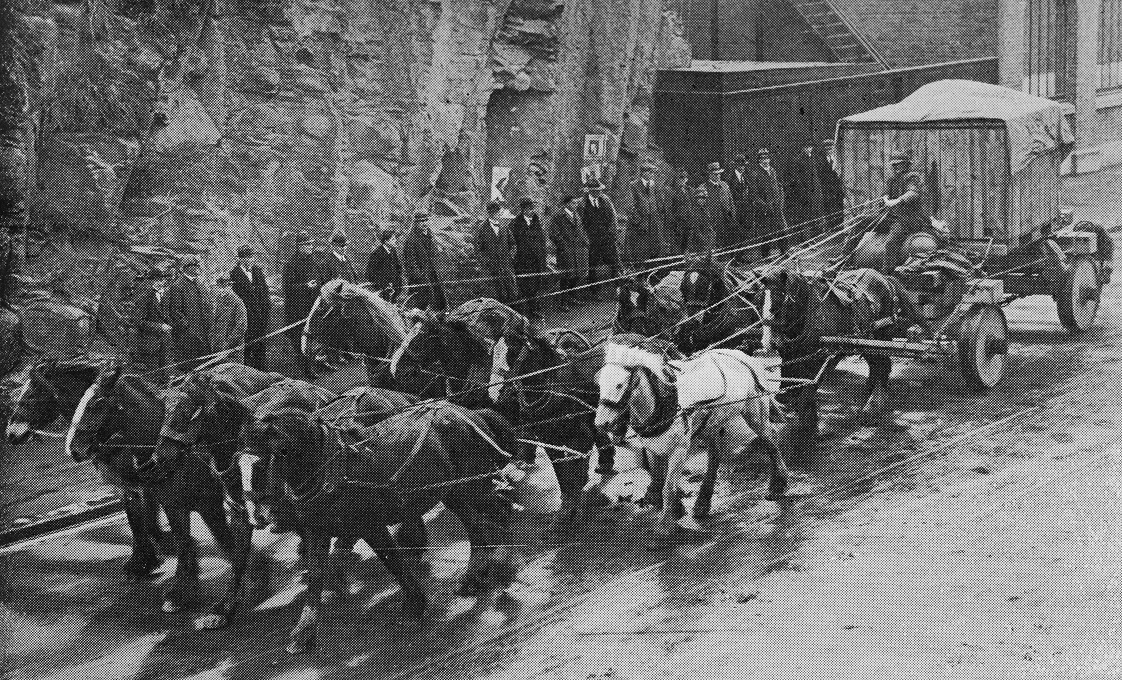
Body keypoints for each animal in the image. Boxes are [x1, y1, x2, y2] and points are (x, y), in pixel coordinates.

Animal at [238, 403, 518, 655]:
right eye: (237, 464)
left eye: (267, 460)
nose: (259, 516)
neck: (330, 471)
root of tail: (470, 412)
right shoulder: (318, 531)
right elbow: (316, 575)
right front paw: (303, 634)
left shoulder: (370, 526)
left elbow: (393, 561)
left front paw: (414, 606)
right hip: (452, 491)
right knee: (476, 527)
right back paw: (473, 576)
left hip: (475, 485)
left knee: (500, 512)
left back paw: (503, 564)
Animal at [596, 336, 789, 543]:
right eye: (599, 385)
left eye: (619, 385)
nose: (601, 423)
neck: (665, 406)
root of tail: (739, 355)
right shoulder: (653, 449)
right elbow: (659, 478)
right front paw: (676, 509)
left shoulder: (679, 449)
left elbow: (668, 487)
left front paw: (665, 527)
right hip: (711, 423)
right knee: (715, 457)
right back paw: (702, 503)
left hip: (754, 412)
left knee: (770, 440)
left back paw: (778, 485)